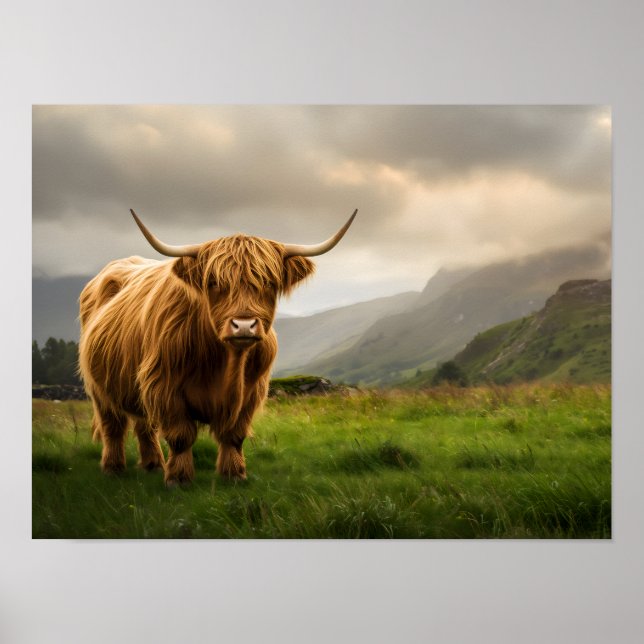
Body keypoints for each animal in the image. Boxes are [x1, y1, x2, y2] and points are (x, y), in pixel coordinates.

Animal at [79, 208, 357, 486]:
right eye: (213, 282)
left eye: (269, 282)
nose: (244, 326)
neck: (225, 362)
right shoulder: (163, 385)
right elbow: (180, 435)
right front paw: (179, 479)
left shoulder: (252, 390)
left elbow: (234, 434)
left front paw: (234, 474)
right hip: (99, 388)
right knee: (113, 426)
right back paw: (114, 468)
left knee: (144, 425)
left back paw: (153, 465)